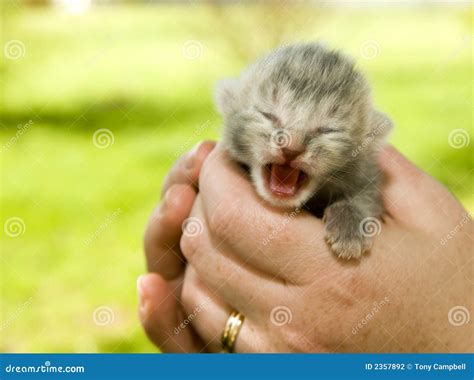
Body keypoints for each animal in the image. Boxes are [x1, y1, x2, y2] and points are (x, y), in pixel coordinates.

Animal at [215, 43, 392, 260]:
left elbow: (367, 197)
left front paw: (349, 223)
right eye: (268, 115)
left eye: (327, 130)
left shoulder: (367, 176)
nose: (291, 148)